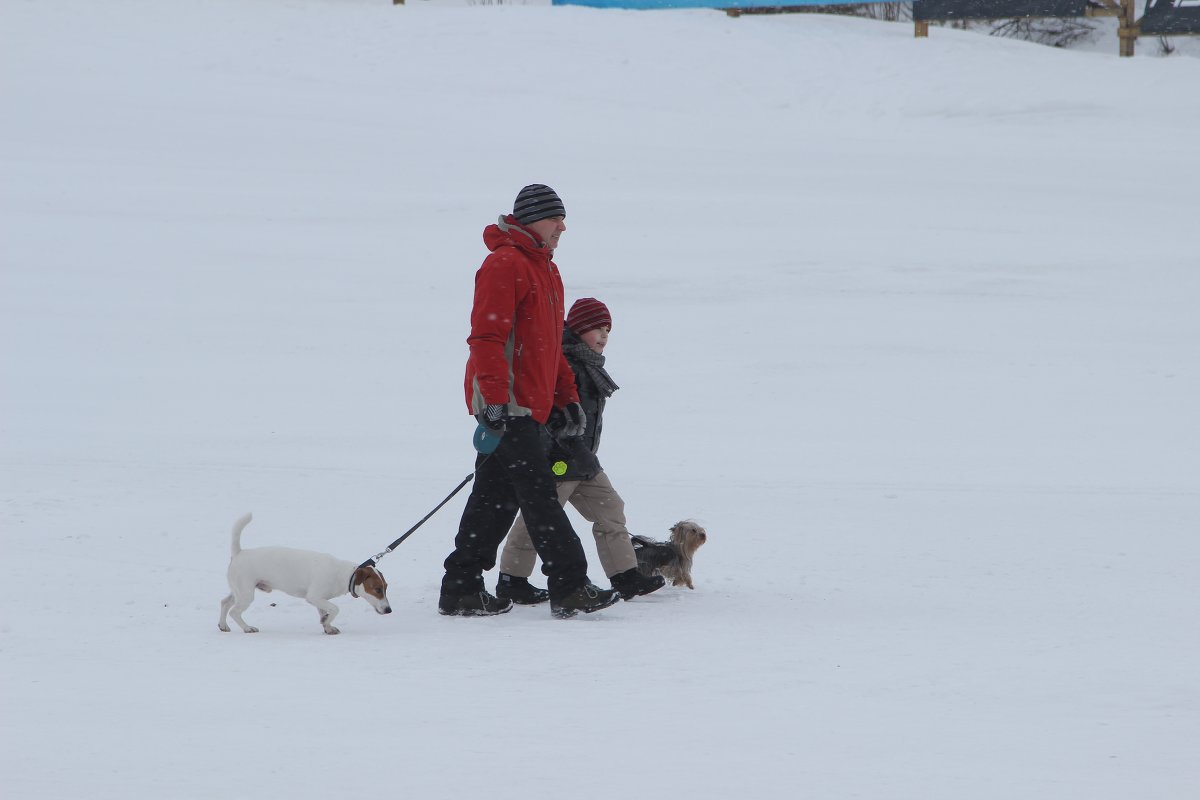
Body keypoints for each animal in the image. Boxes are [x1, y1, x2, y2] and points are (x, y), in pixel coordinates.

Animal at [218, 513, 391, 638]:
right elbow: (335, 609)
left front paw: (327, 626)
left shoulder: (320, 599)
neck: (344, 575)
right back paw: (247, 628)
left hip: (238, 590)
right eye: (377, 589)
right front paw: (326, 621)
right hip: (246, 593)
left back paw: (223, 625)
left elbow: (325, 611)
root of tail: (239, 553)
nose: (389, 610)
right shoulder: (314, 596)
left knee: (225, 602)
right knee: (234, 611)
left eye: (386, 587)